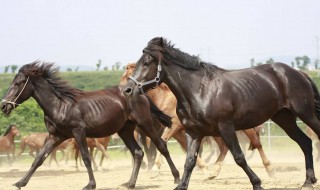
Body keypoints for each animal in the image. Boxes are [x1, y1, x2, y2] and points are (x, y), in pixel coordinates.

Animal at [0, 61, 180, 189]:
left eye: (18, 83)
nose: (4, 106)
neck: (60, 106)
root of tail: (139, 93)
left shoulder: (78, 132)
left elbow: (86, 158)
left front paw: (90, 185)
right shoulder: (55, 136)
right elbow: (38, 159)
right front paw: (20, 183)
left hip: (145, 124)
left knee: (161, 146)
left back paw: (177, 178)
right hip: (125, 130)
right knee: (138, 152)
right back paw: (130, 183)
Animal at [123, 36, 320, 189]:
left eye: (147, 63)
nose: (127, 90)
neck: (199, 91)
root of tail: (298, 73)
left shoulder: (225, 127)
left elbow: (239, 157)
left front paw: (257, 183)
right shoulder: (193, 132)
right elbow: (189, 161)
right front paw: (182, 184)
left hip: (306, 114)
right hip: (284, 118)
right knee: (305, 142)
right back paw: (308, 181)